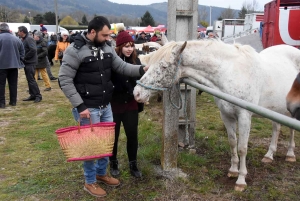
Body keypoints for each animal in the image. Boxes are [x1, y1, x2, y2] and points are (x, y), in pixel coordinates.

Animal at [134, 39, 300, 192]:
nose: (137, 93)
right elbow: (232, 142)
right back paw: (269, 155)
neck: (231, 73)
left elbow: (242, 148)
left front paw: (241, 180)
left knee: (291, 129)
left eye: (164, 66)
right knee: (276, 128)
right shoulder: (226, 115)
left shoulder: (244, 116)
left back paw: (290, 154)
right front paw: (233, 170)